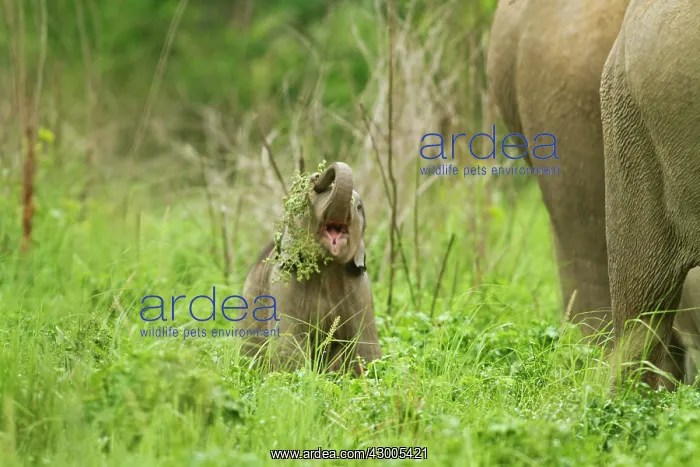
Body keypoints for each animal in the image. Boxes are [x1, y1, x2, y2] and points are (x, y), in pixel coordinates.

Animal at [240, 162, 382, 375]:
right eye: (309, 199)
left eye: (358, 206)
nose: (316, 176)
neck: (327, 267)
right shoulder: (283, 285)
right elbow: (287, 342)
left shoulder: (362, 288)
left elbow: (365, 342)